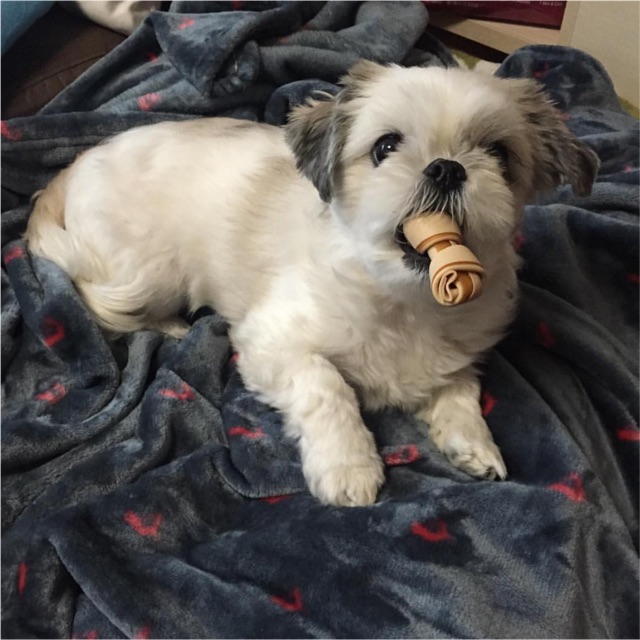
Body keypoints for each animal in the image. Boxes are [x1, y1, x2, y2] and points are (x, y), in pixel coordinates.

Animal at [26, 61, 599, 506]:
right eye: (385, 147)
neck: (403, 300)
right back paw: (170, 325)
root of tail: (72, 170)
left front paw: (474, 443)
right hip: (148, 275)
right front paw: (350, 467)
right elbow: (327, 386)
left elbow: (459, 390)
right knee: (100, 300)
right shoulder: (271, 343)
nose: (446, 168)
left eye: (498, 154)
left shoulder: (455, 355)